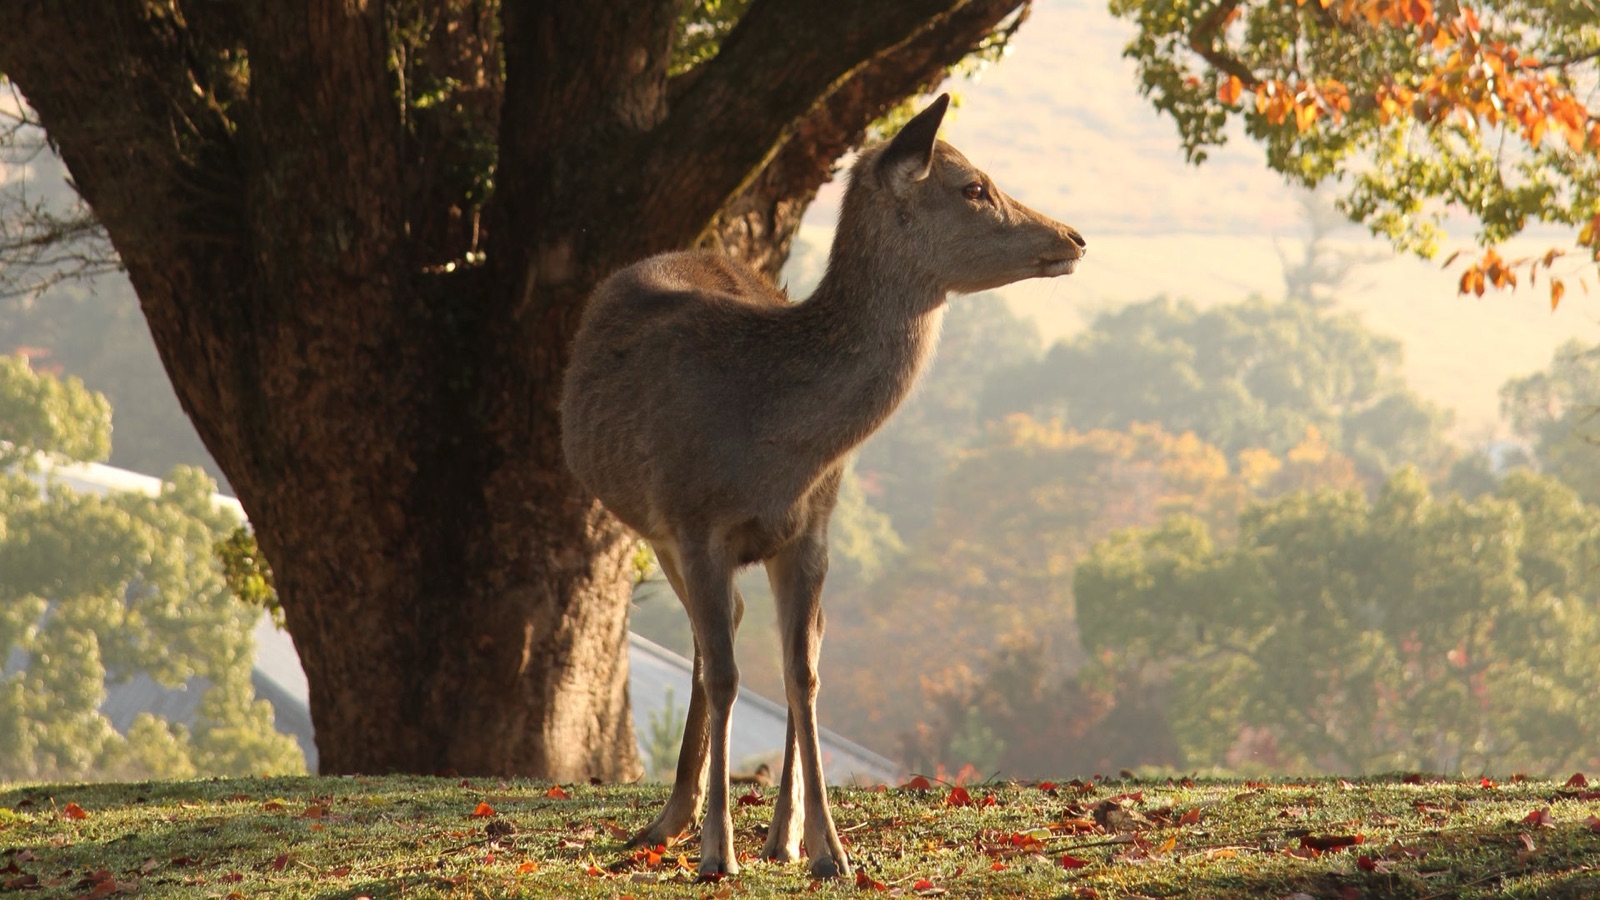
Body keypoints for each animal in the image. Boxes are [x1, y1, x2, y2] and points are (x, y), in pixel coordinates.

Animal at [559, 94, 1086, 879]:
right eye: (973, 186)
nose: (1073, 237)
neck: (776, 441)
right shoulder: (694, 520)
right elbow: (728, 675)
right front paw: (720, 851)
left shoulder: (812, 529)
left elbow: (801, 673)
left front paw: (828, 849)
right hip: (653, 528)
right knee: (714, 639)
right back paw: (675, 817)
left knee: (775, 636)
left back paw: (776, 833)